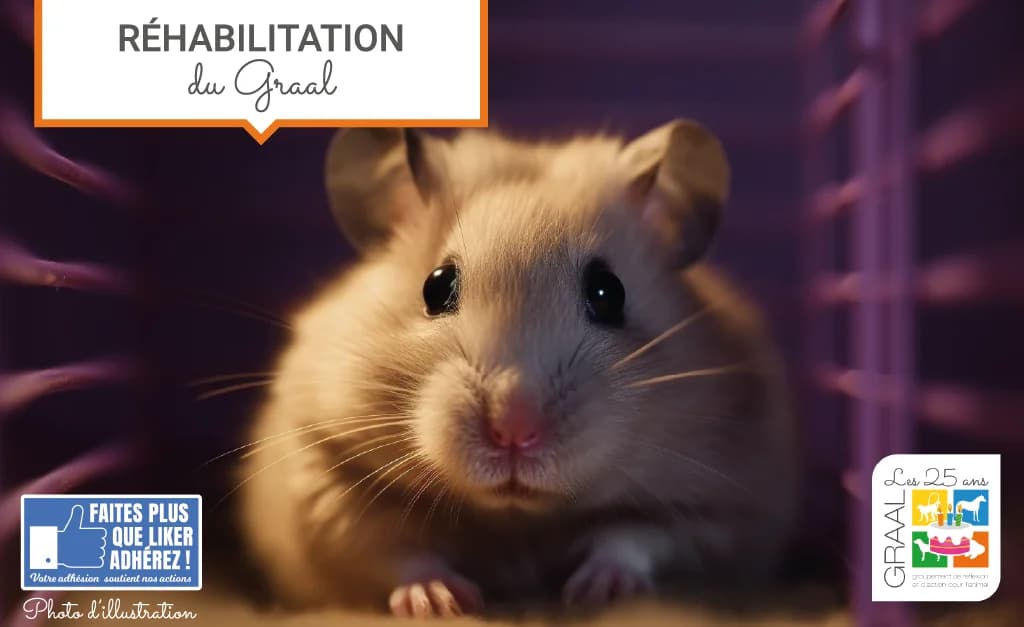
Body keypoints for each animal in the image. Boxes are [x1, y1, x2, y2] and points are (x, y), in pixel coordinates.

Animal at [237, 120, 799, 618]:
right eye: (436, 286)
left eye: (608, 293)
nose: (513, 431)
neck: (517, 519)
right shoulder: (324, 478)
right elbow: (392, 553)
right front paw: (444, 602)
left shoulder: (723, 504)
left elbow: (637, 537)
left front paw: (593, 592)